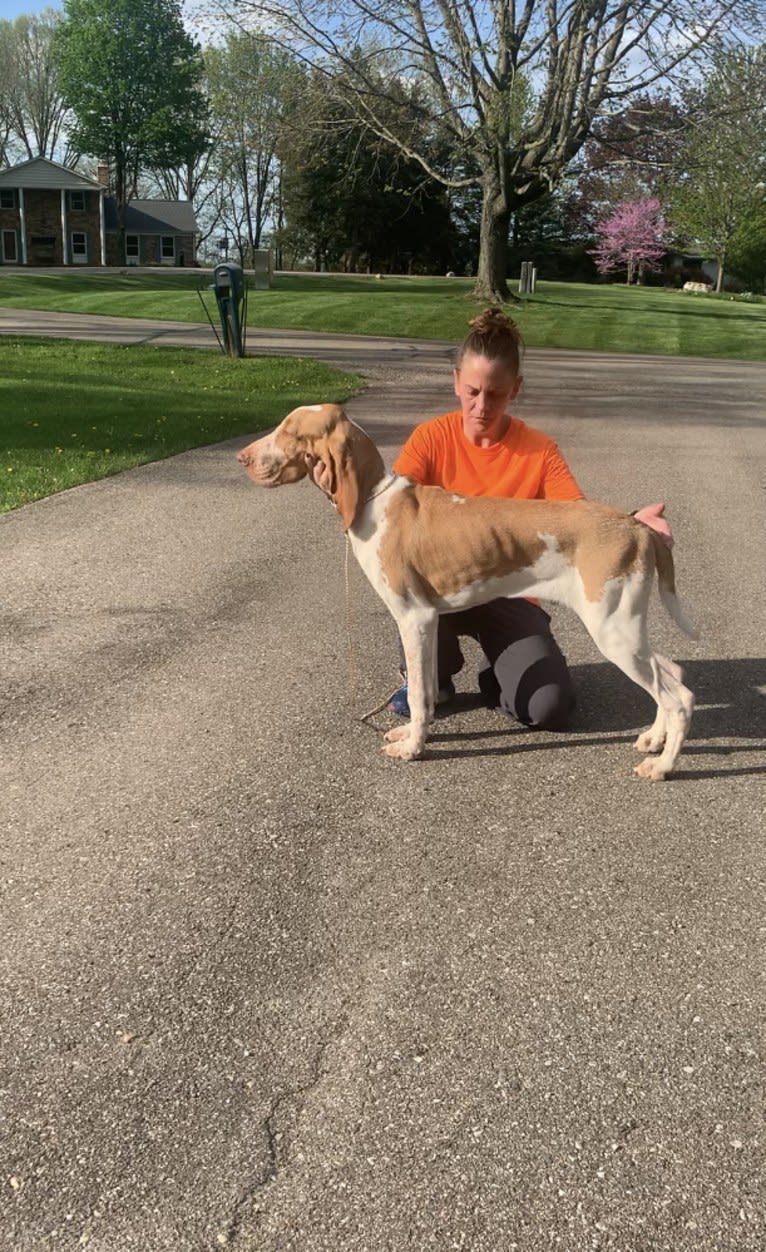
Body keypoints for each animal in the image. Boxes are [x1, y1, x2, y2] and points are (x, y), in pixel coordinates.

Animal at [239, 400, 700, 776]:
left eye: (289, 430)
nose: (242, 457)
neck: (374, 500)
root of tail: (638, 527)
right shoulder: (426, 622)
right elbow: (425, 688)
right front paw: (412, 733)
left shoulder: (414, 618)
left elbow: (420, 692)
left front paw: (413, 749)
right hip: (625, 628)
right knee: (673, 674)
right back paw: (653, 739)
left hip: (613, 630)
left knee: (677, 698)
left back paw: (662, 766)